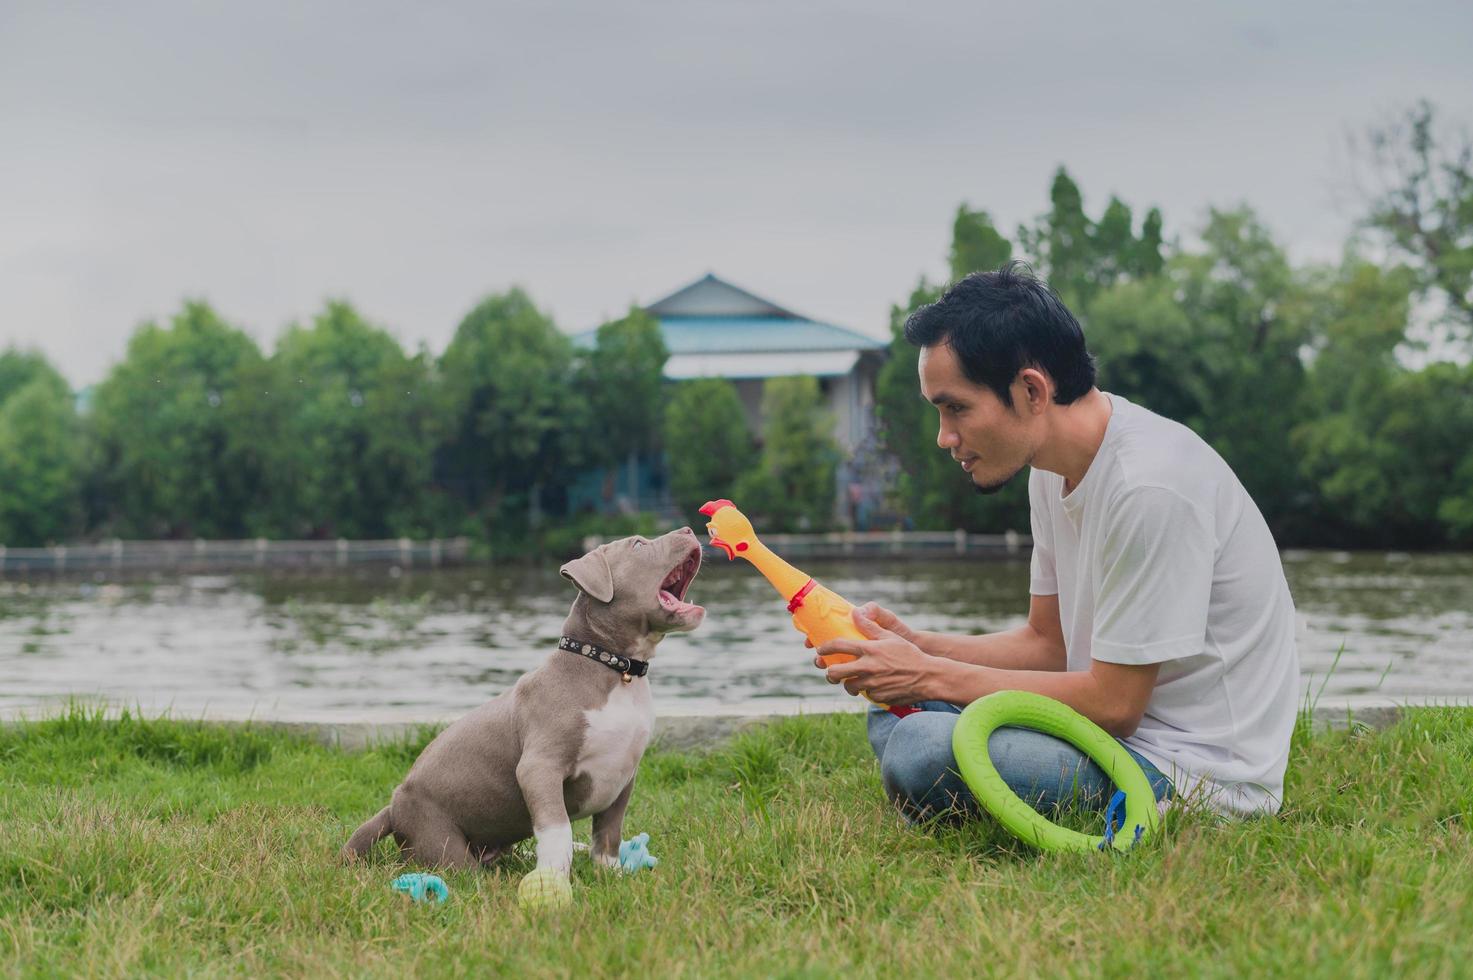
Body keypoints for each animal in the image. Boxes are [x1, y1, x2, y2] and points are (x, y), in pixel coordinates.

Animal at [347, 527, 709, 878]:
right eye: (637, 545)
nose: (689, 530)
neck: (615, 668)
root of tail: (393, 807)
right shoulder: (539, 766)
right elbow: (556, 828)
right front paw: (552, 877)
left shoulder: (624, 774)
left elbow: (609, 831)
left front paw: (612, 873)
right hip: (441, 839)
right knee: (464, 872)